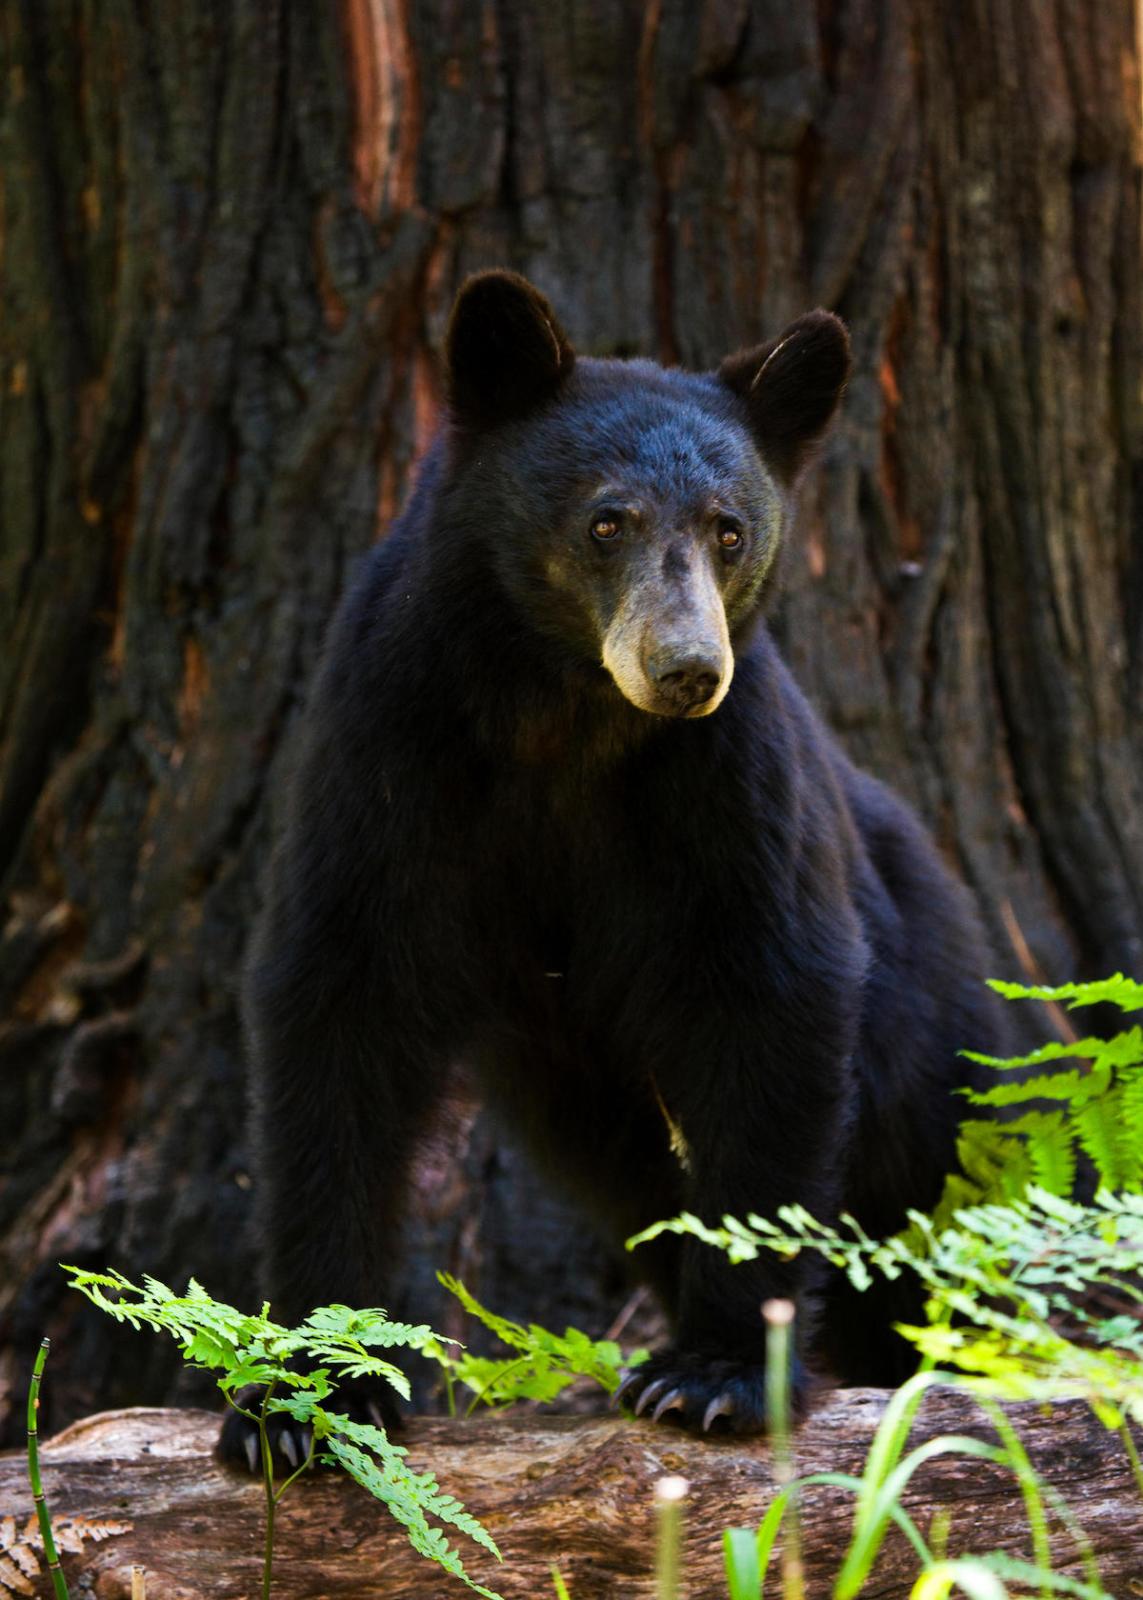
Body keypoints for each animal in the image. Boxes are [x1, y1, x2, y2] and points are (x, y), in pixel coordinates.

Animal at [220, 265, 998, 1465]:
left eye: (730, 530)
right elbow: (341, 1010)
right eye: (605, 520)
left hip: (945, 1056)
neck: (563, 721)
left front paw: (712, 1375)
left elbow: (771, 1006)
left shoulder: (726, 788)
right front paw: (301, 1402)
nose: (685, 669)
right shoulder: (387, 760)